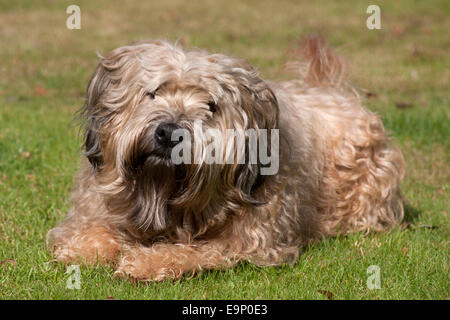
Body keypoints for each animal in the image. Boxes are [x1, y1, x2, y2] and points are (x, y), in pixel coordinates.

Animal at [47, 37, 406, 282]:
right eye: (154, 93)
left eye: (211, 106)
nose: (169, 133)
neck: (163, 189)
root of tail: (334, 90)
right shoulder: (95, 206)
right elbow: (91, 231)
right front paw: (84, 248)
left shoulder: (249, 240)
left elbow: (190, 250)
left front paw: (146, 261)